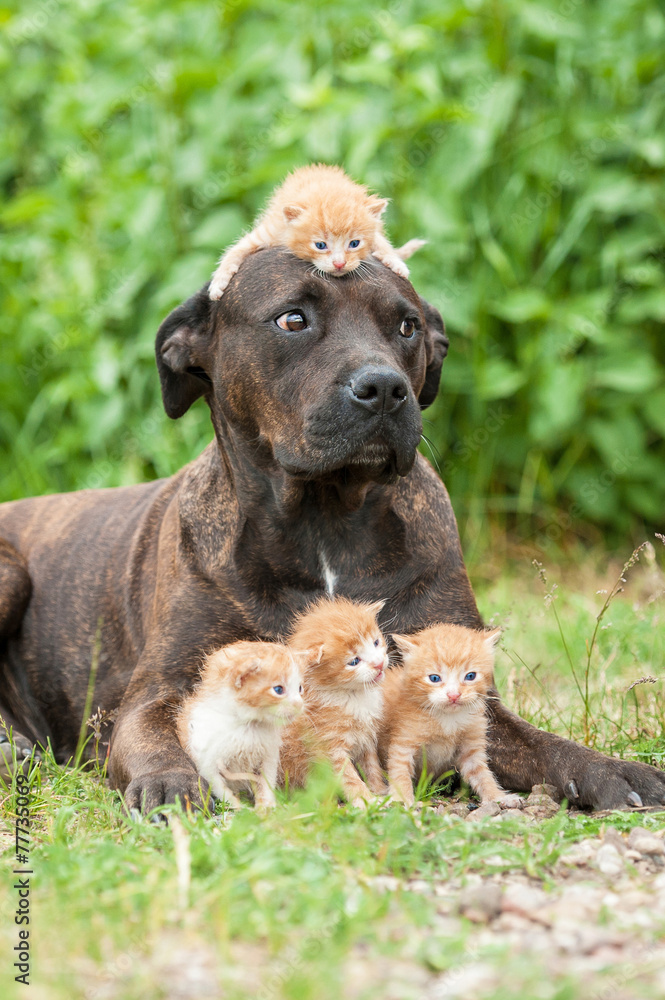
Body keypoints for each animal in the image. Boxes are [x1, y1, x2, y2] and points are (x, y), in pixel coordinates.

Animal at [175, 640, 312, 812]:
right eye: (278, 690)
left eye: (300, 688)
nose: (299, 704)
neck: (248, 727)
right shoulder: (206, 760)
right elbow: (221, 789)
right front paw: (239, 808)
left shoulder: (268, 757)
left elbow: (265, 783)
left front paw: (266, 806)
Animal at [209, 162, 426, 296]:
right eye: (321, 245)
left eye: (354, 244)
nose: (339, 264)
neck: (325, 190)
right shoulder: (271, 230)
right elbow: (237, 249)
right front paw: (219, 283)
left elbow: (381, 242)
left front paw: (395, 262)